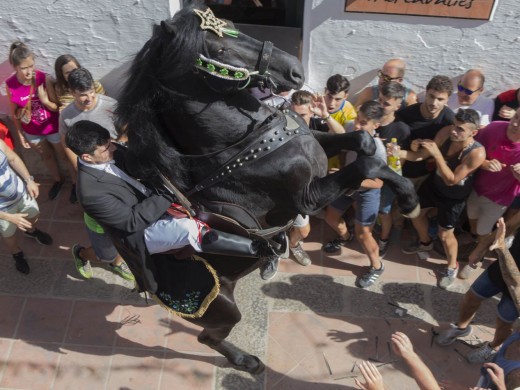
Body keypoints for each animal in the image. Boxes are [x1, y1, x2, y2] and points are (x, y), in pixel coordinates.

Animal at [116, 1, 420, 374]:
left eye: (232, 24)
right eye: (217, 50)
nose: (295, 70)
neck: (242, 141)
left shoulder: (317, 141)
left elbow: (363, 141)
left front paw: (394, 183)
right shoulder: (308, 197)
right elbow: (365, 165)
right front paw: (409, 199)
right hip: (222, 308)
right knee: (207, 338)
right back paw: (248, 361)